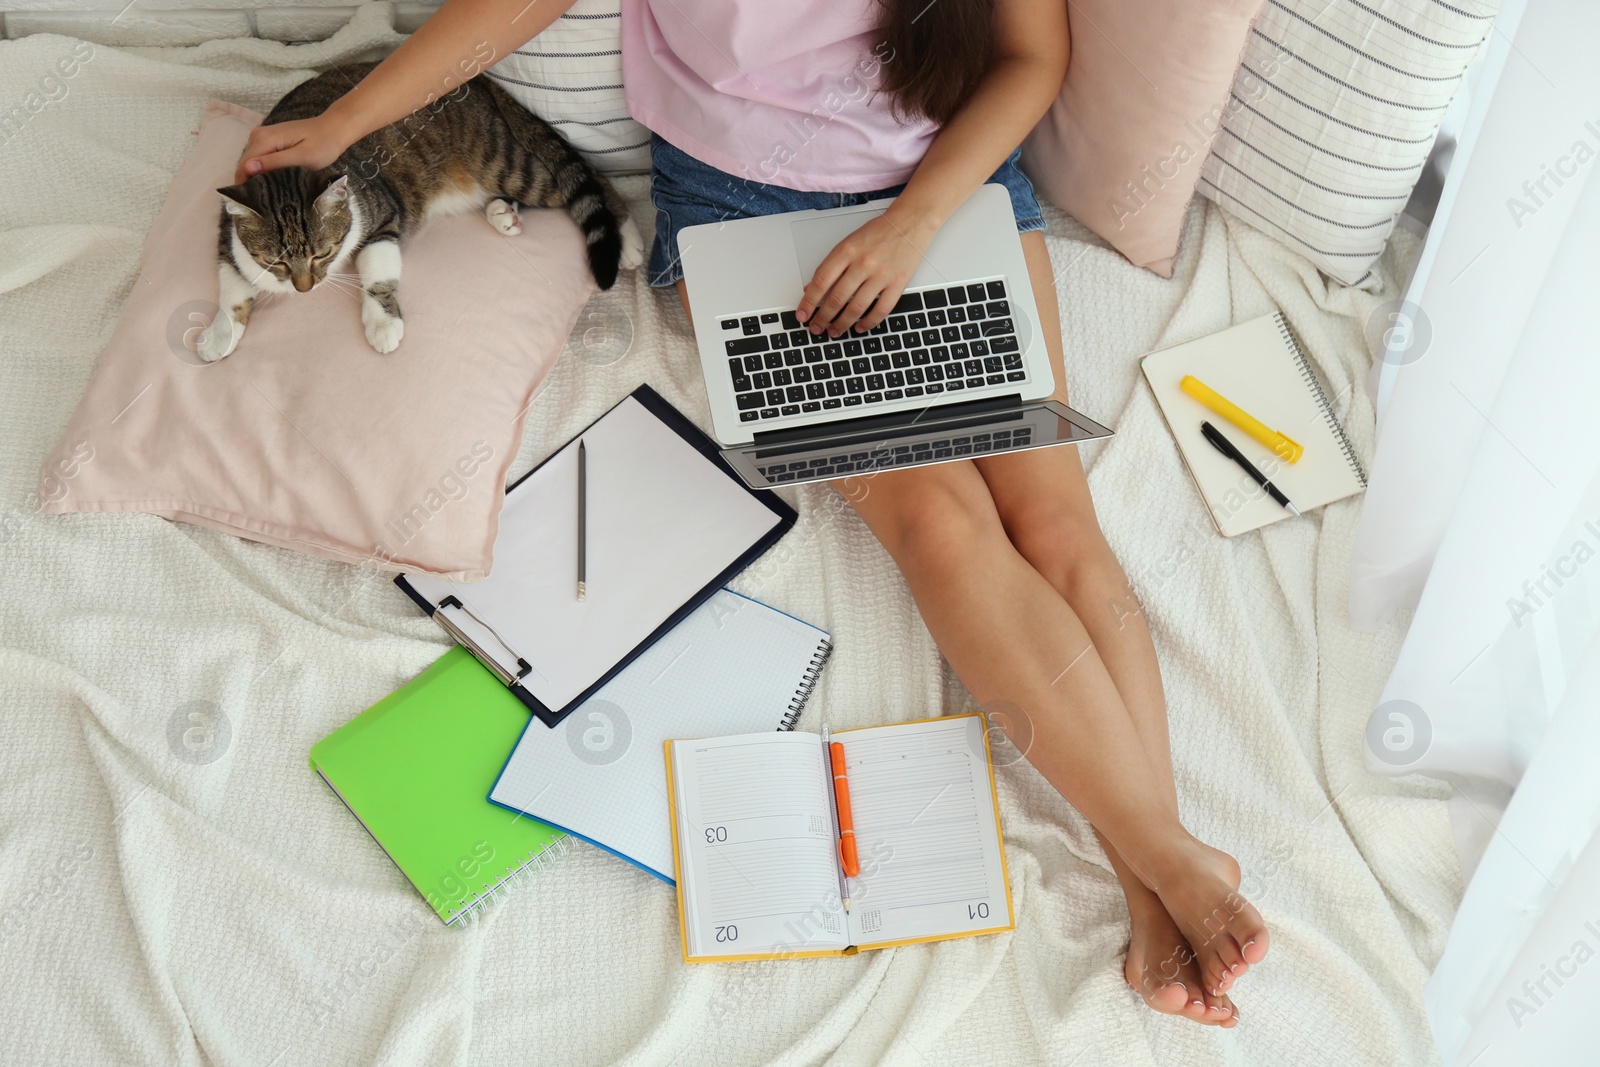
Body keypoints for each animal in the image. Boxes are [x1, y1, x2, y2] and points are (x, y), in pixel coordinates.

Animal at [200, 67, 643, 367]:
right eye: (273, 261)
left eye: (322, 253)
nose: (305, 289)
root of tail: (480, 82)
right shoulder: (227, 241)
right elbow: (230, 289)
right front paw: (220, 333)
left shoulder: (383, 217)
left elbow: (376, 274)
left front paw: (382, 324)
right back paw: (503, 214)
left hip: (503, 162)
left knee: (590, 180)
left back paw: (629, 240)